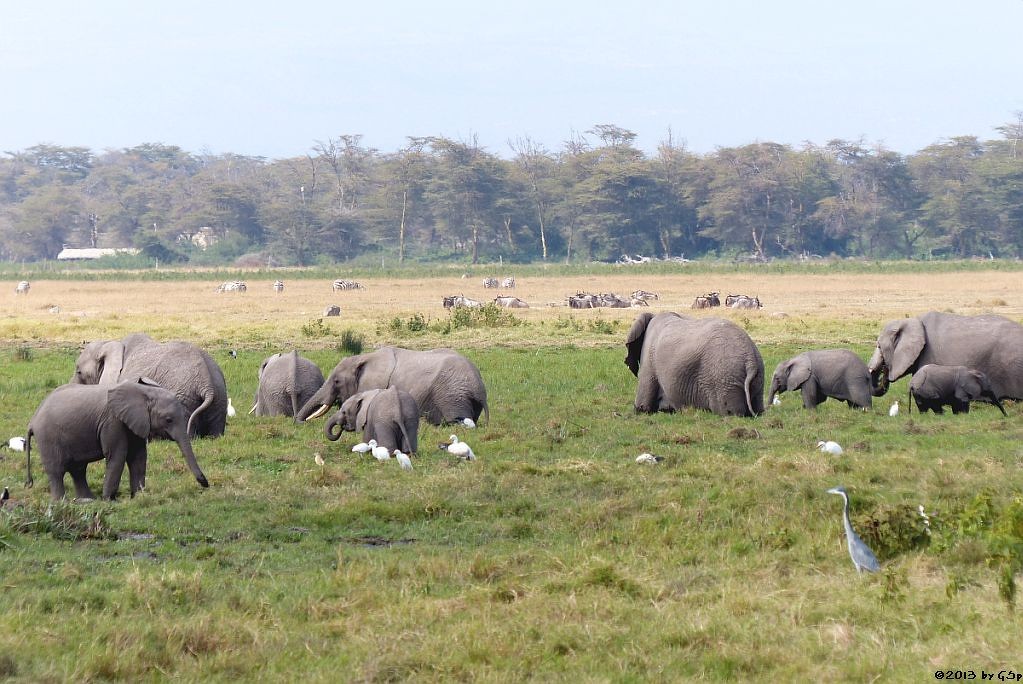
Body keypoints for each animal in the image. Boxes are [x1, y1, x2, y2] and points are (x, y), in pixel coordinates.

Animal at [25, 376, 207, 498]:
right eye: (168, 420)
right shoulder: (112, 421)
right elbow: (118, 455)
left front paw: (137, 497)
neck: (143, 392)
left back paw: (87, 500)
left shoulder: (134, 421)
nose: (205, 484)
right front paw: (109, 500)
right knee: (56, 470)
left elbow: (138, 456)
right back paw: (61, 502)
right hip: (48, 438)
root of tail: (32, 421)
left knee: (78, 469)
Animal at [621, 310, 769, 417]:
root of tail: (750, 359)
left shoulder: (648, 358)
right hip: (757, 376)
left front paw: (640, 411)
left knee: (729, 411)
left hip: (724, 378)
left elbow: (642, 405)